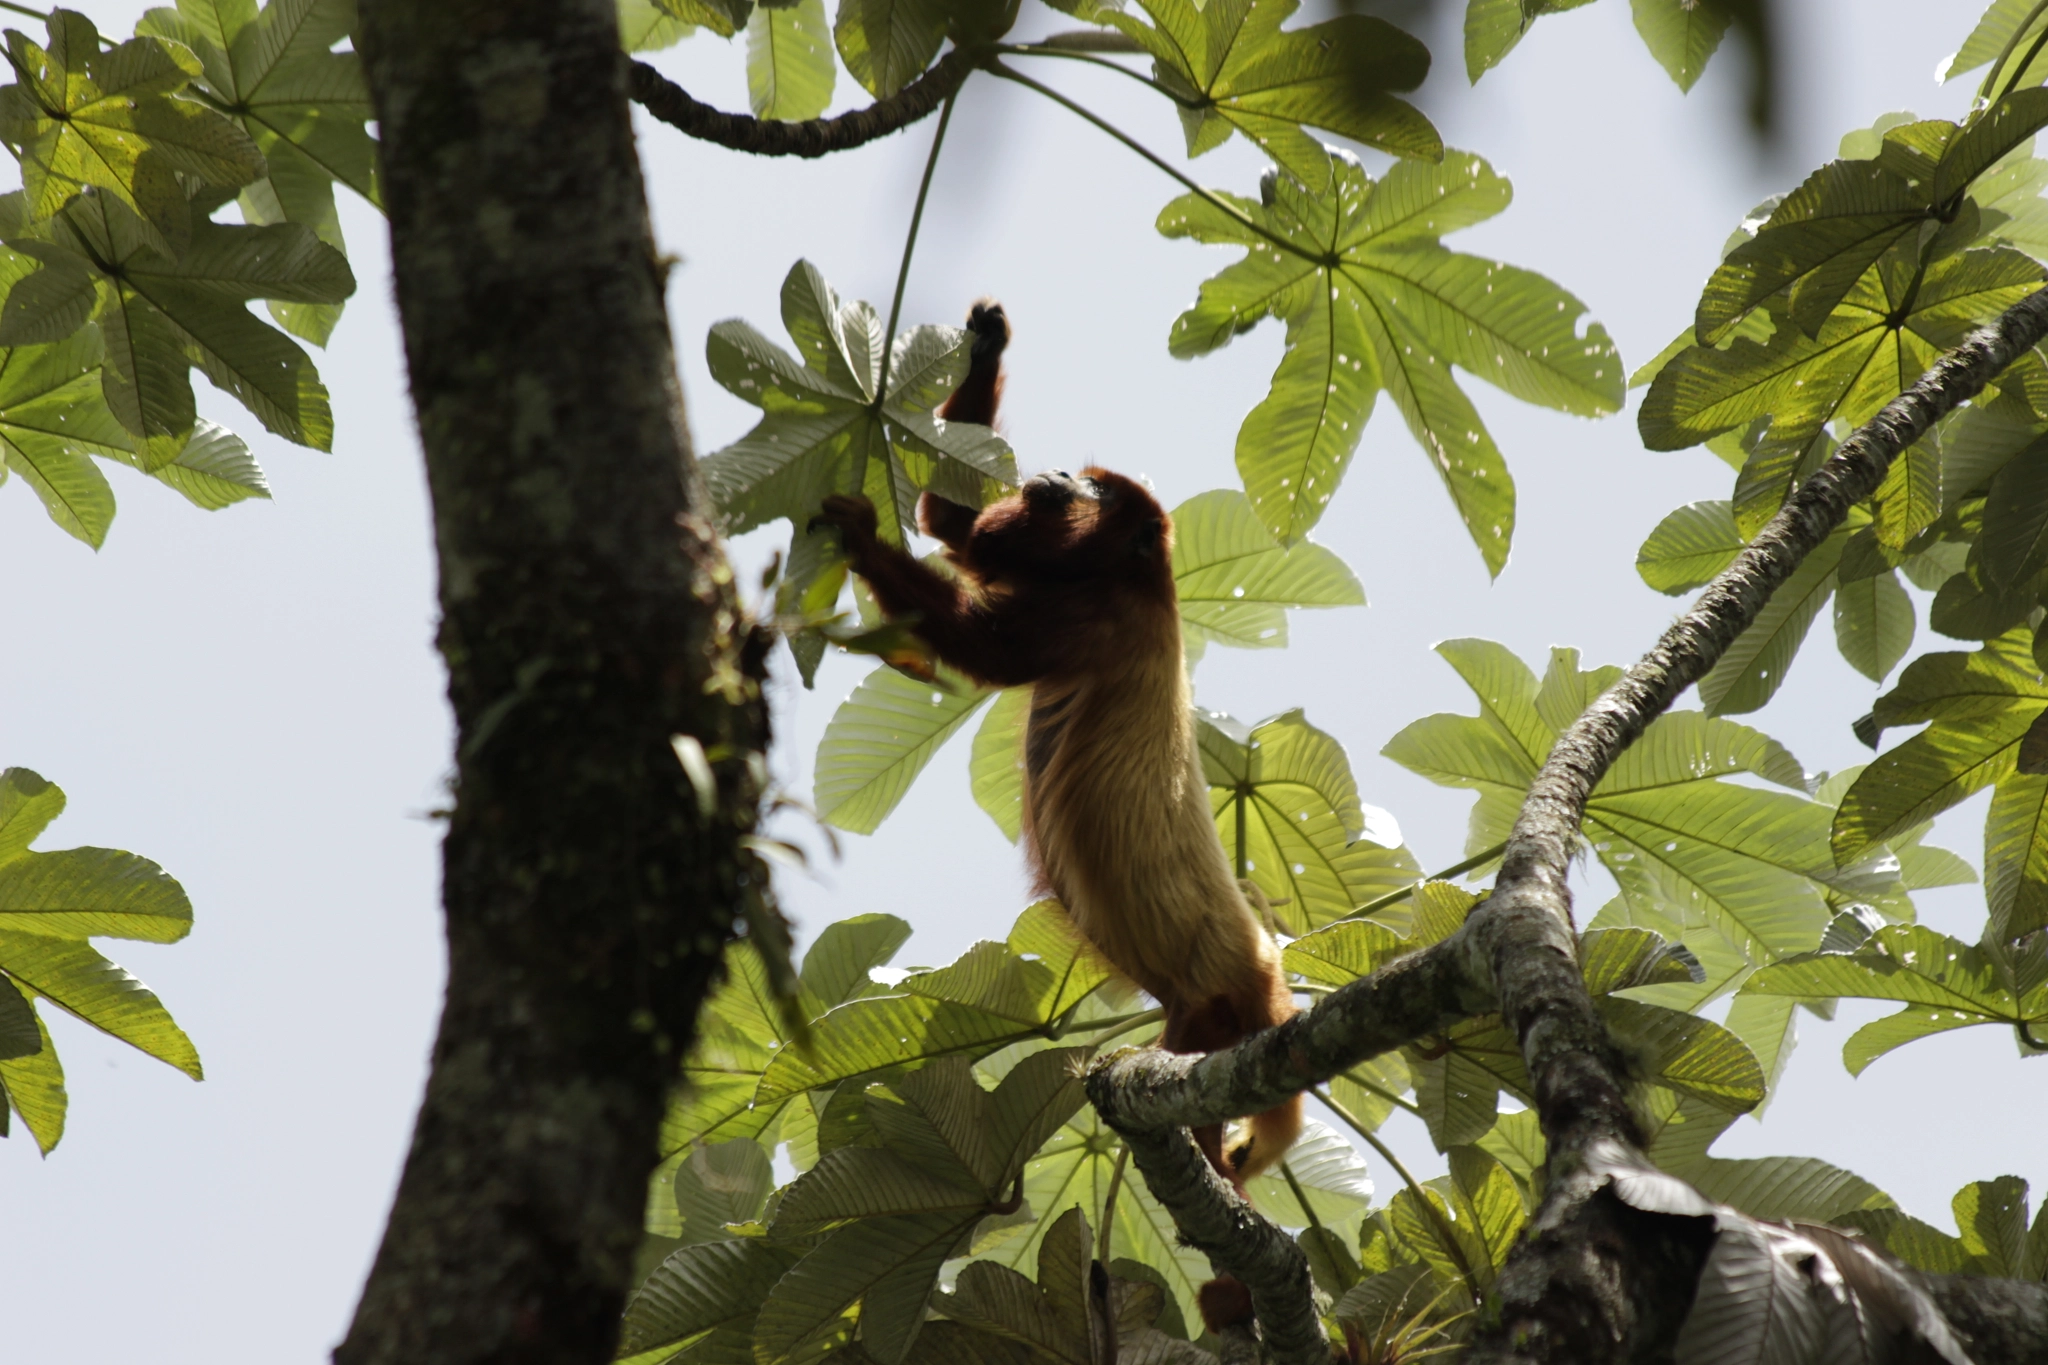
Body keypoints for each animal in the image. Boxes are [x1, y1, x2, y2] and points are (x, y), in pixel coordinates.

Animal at [812, 301, 1303, 1222]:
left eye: (1098, 490)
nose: (1061, 477)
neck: (1135, 573)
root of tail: (1273, 976)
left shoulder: (1097, 614)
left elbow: (988, 648)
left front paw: (860, 533)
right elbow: (949, 520)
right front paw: (985, 342)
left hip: (1213, 1011)